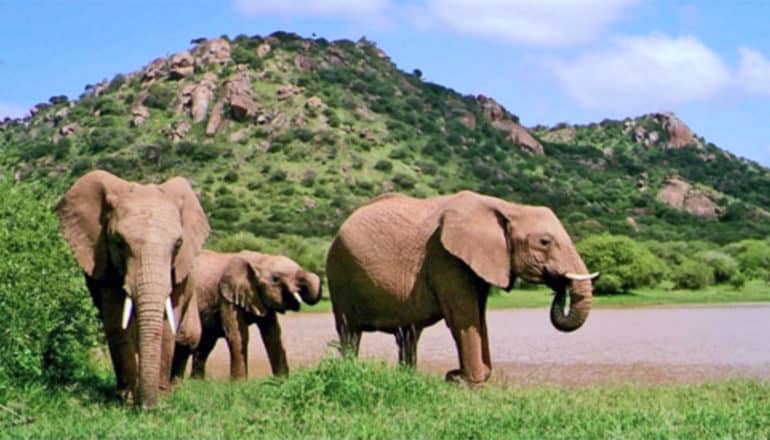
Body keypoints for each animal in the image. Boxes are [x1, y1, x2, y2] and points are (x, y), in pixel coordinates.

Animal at [55, 170, 208, 408]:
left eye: (178, 245)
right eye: (119, 242)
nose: (146, 407)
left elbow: (167, 327)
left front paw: (160, 399)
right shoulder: (104, 261)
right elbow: (117, 322)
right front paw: (127, 400)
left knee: (186, 338)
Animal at [172, 251, 320, 378]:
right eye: (276, 279)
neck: (259, 259)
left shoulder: (260, 297)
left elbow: (273, 336)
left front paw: (281, 382)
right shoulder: (226, 296)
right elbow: (239, 335)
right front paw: (238, 385)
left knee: (205, 345)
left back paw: (196, 382)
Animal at [322, 191, 592, 386]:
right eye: (545, 242)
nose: (559, 286)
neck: (506, 207)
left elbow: (479, 316)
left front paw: (468, 376)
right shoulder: (444, 257)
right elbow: (463, 315)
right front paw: (468, 381)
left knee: (408, 335)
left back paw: (407, 375)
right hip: (338, 273)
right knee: (349, 331)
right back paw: (351, 369)